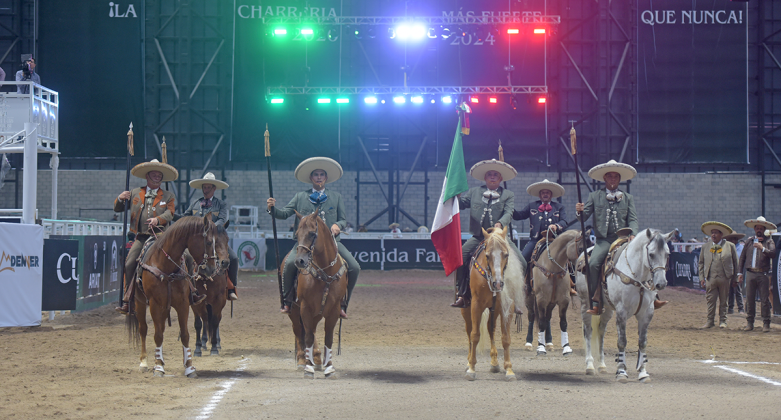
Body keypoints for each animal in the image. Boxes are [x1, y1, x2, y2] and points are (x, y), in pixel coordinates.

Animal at [127, 217, 229, 378]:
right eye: (208, 242)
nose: (213, 268)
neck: (166, 266)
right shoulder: (155, 304)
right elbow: (157, 335)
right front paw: (158, 367)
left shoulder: (183, 304)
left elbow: (185, 334)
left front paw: (189, 366)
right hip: (140, 302)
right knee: (143, 329)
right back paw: (144, 362)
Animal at [286, 210, 348, 378]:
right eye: (297, 233)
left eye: (312, 234)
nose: (299, 261)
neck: (326, 274)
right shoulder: (305, 308)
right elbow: (307, 336)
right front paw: (308, 367)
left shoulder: (333, 310)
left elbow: (328, 337)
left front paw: (329, 367)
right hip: (294, 311)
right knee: (299, 331)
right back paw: (302, 360)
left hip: (317, 313)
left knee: (312, 330)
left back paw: (318, 359)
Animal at [460, 226, 528, 380]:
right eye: (487, 255)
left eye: (506, 255)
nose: (497, 284)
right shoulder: (476, 305)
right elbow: (475, 335)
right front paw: (471, 369)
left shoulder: (507, 307)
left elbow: (506, 338)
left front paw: (509, 369)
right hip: (466, 310)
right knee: (469, 331)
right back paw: (468, 361)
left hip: (494, 311)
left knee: (491, 329)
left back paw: (495, 363)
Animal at [528, 228, 580, 356]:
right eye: (581, 245)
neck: (553, 270)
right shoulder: (541, 300)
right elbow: (541, 322)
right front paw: (541, 348)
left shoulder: (564, 300)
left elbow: (563, 323)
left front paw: (566, 347)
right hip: (530, 298)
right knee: (532, 316)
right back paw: (529, 344)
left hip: (551, 303)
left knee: (547, 318)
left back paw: (549, 343)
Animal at [568, 228, 672, 382]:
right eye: (651, 254)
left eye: (667, 254)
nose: (661, 283)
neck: (637, 277)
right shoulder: (622, 312)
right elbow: (622, 341)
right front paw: (621, 372)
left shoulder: (647, 313)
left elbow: (643, 342)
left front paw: (643, 372)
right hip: (585, 304)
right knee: (588, 331)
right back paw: (590, 366)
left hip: (607, 310)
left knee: (601, 332)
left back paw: (602, 365)